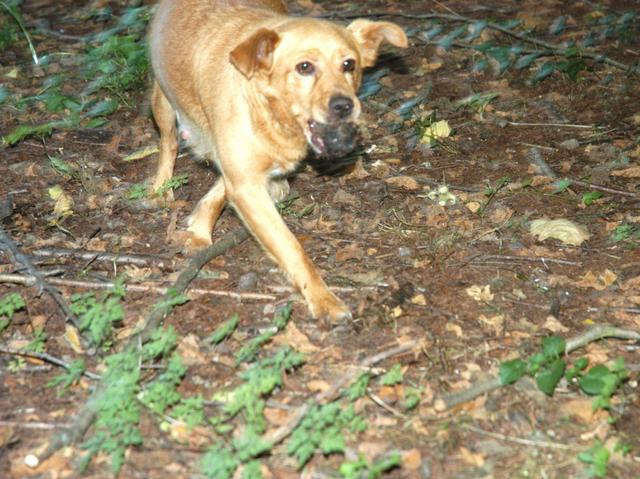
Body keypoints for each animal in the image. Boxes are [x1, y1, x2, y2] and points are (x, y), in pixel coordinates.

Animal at [148, 0, 408, 322]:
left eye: (349, 64)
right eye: (304, 67)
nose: (344, 105)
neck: (271, 111)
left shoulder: (241, 172)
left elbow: (222, 188)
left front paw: (199, 228)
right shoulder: (244, 182)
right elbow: (291, 246)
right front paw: (322, 299)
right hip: (162, 103)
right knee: (168, 142)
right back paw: (160, 189)